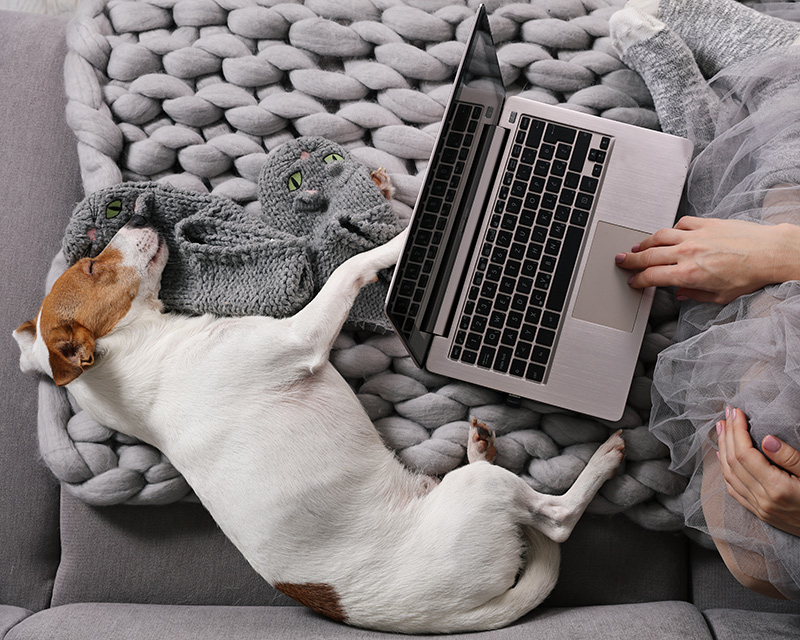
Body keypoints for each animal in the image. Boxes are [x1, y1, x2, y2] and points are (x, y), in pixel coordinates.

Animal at [14, 216, 624, 636]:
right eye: (92, 268)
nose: (140, 214)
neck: (133, 359)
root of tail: (451, 618)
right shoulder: (300, 337)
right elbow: (348, 268)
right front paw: (405, 237)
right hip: (485, 499)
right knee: (555, 518)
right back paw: (605, 456)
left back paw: (479, 443)